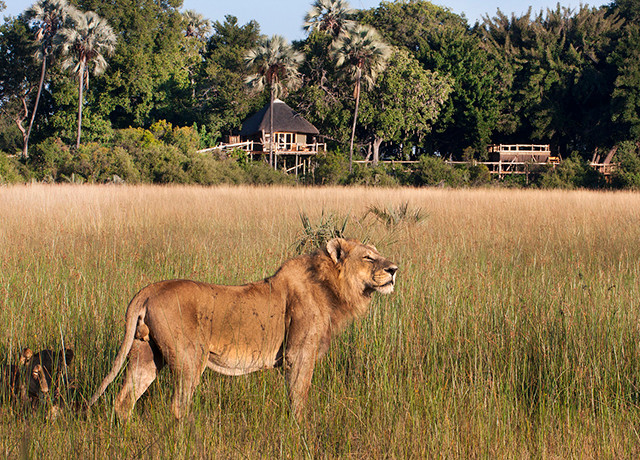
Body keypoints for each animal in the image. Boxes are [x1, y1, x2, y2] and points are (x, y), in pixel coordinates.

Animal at [87, 239, 398, 422]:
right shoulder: (298, 355)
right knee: (178, 405)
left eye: (379, 255)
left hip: (146, 353)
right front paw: (300, 430)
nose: (395, 269)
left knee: (123, 400)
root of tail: (150, 288)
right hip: (190, 358)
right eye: (369, 258)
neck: (331, 287)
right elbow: (299, 397)